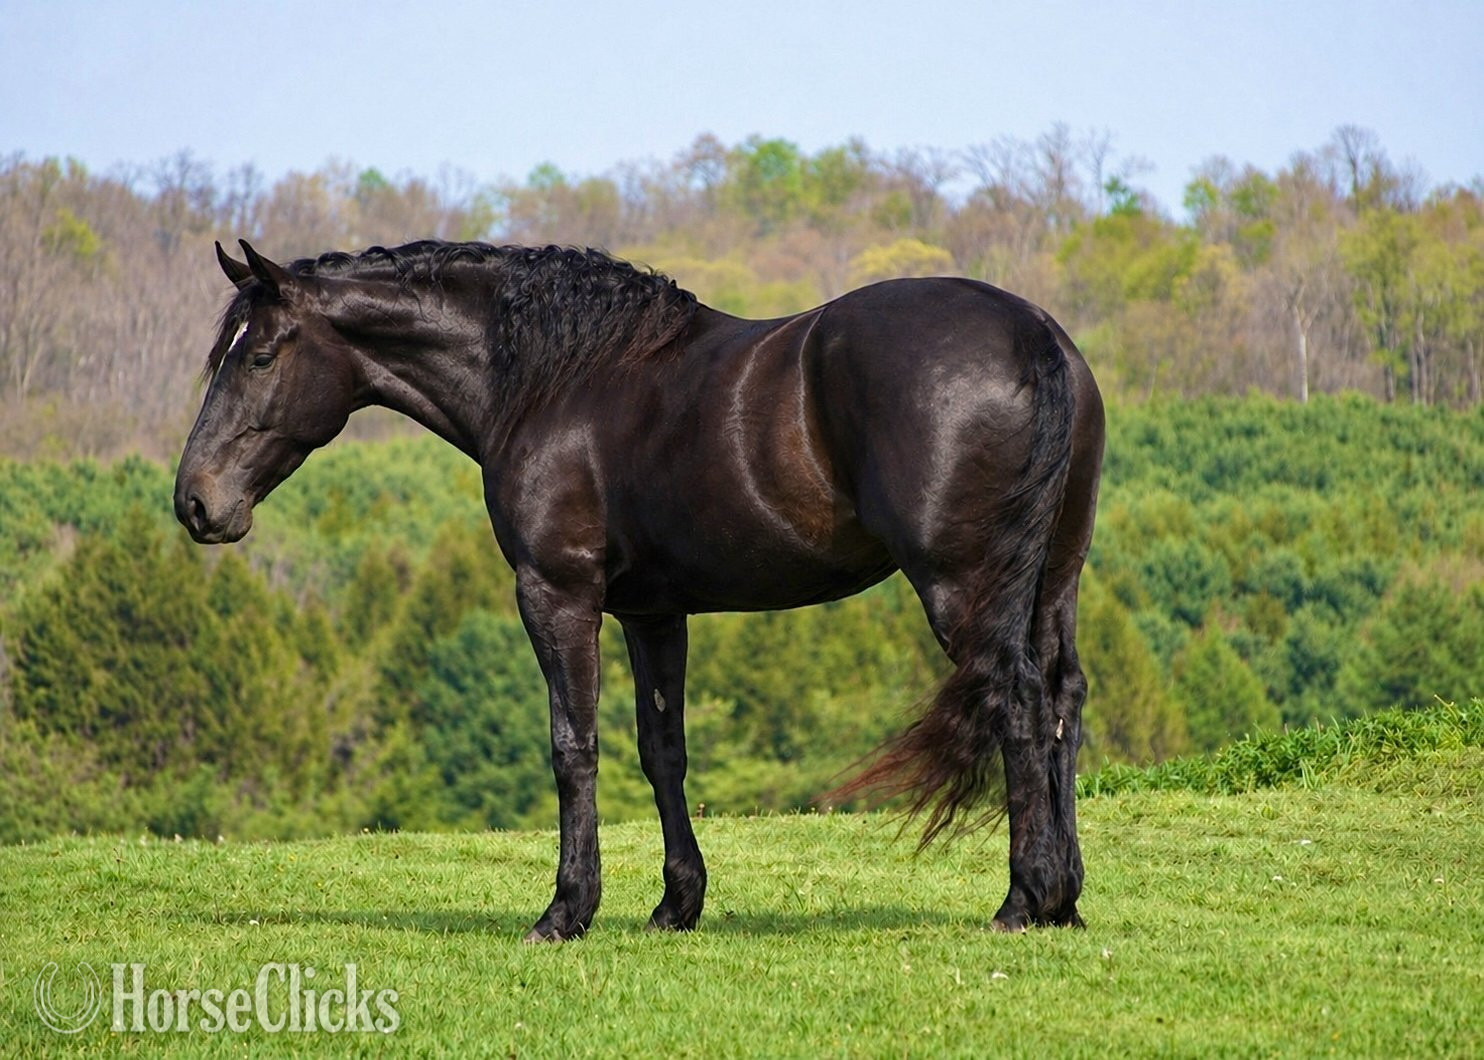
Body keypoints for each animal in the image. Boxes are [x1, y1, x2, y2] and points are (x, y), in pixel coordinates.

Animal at [175, 239, 1104, 941]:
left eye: (259, 354)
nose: (195, 502)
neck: (554, 379)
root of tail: (1035, 335)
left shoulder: (556, 593)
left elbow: (572, 746)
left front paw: (566, 911)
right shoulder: (654, 612)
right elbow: (663, 751)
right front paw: (676, 904)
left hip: (963, 591)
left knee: (1019, 703)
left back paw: (1024, 898)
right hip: (1052, 583)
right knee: (1062, 697)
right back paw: (1065, 900)